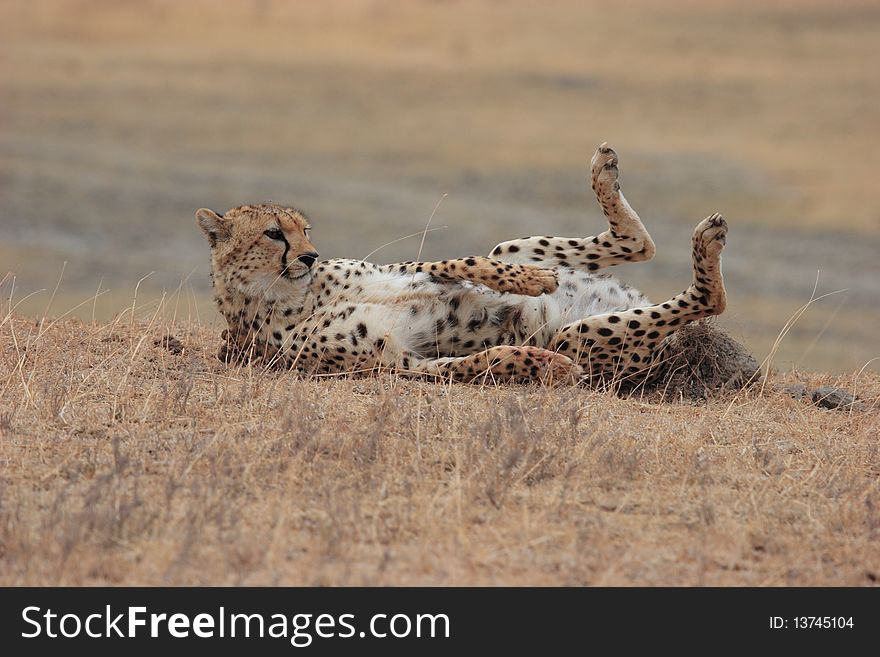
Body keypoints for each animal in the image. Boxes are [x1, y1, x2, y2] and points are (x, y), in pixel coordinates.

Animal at [198, 144, 728, 386]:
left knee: (641, 244)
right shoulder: (401, 363)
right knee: (710, 298)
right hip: (584, 338)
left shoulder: (406, 269)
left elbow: (461, 263)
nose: (309, 256)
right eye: (273, 234)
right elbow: (483, 360)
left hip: (512, 247)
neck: (294, 294)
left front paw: (531, 281)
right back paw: (706, 245)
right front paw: (541, 364)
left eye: (305, 229)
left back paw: (606, 174)